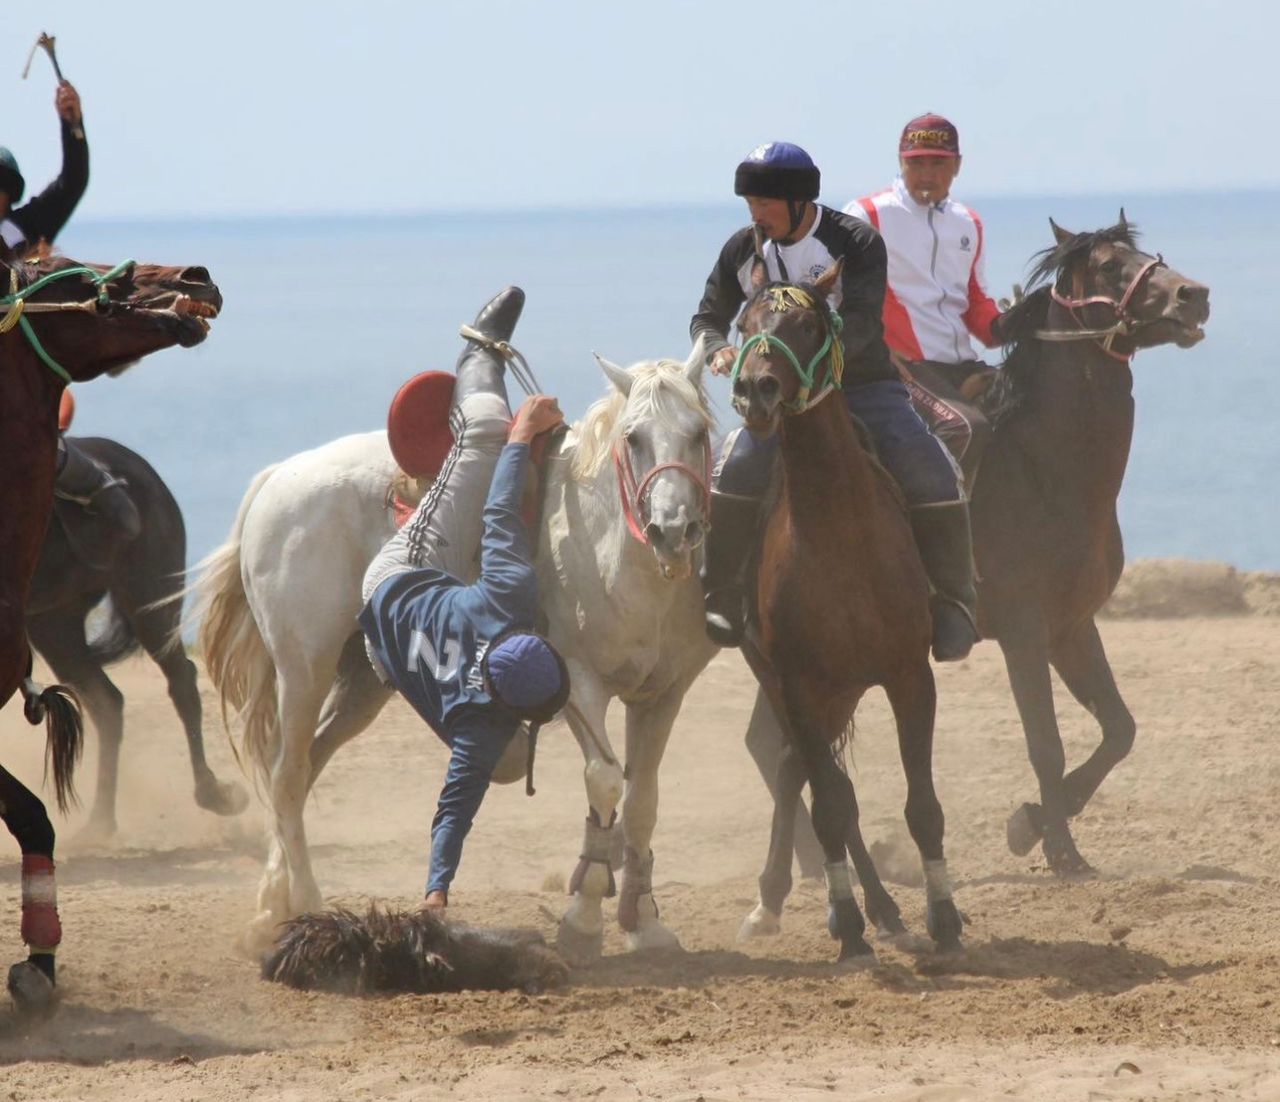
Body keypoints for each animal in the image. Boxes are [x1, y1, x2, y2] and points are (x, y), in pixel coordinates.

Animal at [1, 249, 222, 1008]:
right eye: (68, 272)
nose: (195, 277)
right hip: (58, 626)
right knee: (108, 700)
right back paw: (99, 818)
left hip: (148, 592)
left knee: (179, 681)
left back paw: (211, 791)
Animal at [199, 345, 721, 952]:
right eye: (634, 437)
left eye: (698, 431)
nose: (673, 530)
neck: (608, 545)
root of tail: (277, 477)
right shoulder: (581, 681)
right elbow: (606, 781)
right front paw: (584, 918)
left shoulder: (664, 694)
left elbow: (642, 801)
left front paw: (646, 922)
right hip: (304, 666)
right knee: (286, 775)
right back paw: (301, 901)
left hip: (359, 685)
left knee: (303, 770)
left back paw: (272, 903)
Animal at [732, 259, 962, 962]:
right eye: (745, 326)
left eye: (809, 325)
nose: (756, 390)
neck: (839, 529)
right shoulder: (800, 685)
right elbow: (832, 803)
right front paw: (849, 926)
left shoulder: (910, 676)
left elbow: (923, 807)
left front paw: (944, 918)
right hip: (791, 683)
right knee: (808, 778)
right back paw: (801, 903)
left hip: (845, 690)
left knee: (795, 770)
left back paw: (879, 908)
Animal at [977, 215, 1208, 870]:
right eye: (1108, 266)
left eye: (1149, 256)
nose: (1194, 295)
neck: (1042, 470)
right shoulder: (1023, 634)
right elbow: (1045, 744)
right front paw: (1061, 851)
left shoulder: (1072, 628)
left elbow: (1119, 730)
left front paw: (1032, 822)